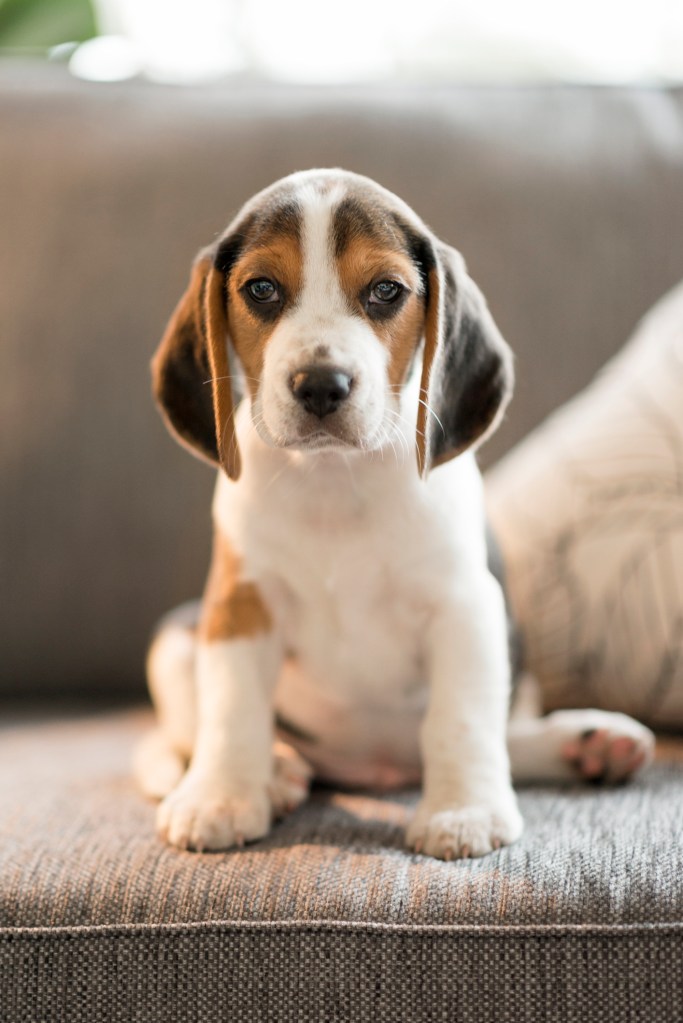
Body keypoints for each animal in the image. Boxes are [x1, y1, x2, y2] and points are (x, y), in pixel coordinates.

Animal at [134, 171, 654, 859]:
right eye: (261, 289)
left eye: (386, 291)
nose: (321, 384)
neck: (335, 480)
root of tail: (372, 765)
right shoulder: (239, 604)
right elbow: (230, 707)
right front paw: (220, 797)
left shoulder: (466, 606)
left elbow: (459, 719)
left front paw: (463, 812)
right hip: (173, 635)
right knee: (189, 726)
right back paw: (277, 771)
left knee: (485, 736)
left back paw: (586, 745)